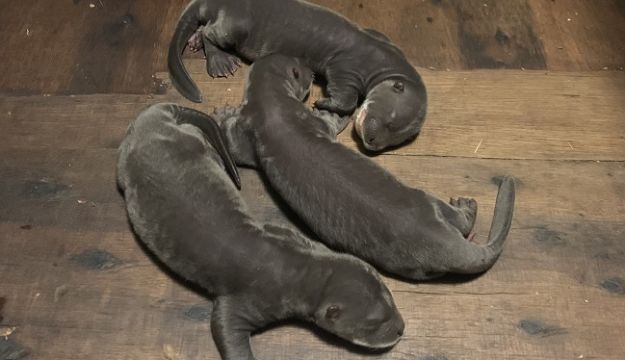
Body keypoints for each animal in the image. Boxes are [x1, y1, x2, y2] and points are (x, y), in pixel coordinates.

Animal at [117, 103, 404, 360]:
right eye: (374, 324)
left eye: (390, 297)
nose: (401, 328)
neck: (299, 268)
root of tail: (153, 116)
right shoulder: (252, 296)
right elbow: (223, 325)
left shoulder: (285, 234)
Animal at [168, 0, 426, 150]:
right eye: (390, 121)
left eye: (398, 139)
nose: (372, 143)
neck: (380, 58)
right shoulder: (347, 68)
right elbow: (345, 98)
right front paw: (322, 103)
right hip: (236, 25)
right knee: (211, 32)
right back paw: (220, 61)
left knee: (205, 27)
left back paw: (194, 41)